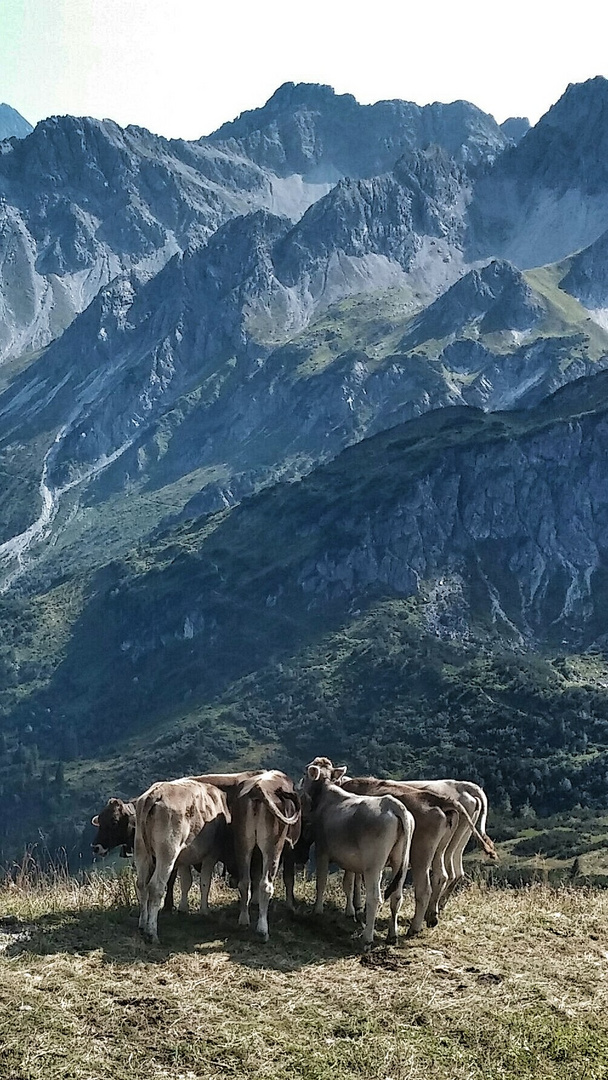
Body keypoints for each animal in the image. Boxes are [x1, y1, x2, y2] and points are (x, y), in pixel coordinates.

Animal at [134, 777, 231, 946]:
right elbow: (205, 882)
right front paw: (205, 911)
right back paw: (152, 933)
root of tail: (156, 793)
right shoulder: (211, 854)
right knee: (155, 887)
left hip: (141, 850)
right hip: (167, 852)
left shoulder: (184, 860)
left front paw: (183, 909)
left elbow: (186, 882)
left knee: (141, 885)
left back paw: (142, 925)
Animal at [302, 756, 416, 950]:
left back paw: (367, 937)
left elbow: (321, 881)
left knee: (375, 897)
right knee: (396, 896)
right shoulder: (350, 861)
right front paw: (350, 912)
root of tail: (392, 803)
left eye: (306, 771)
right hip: (400, 860)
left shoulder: (321, 850)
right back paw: (392, 936)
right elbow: (348, 884)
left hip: (374, 865)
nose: (299, 783)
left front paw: (317, 910)